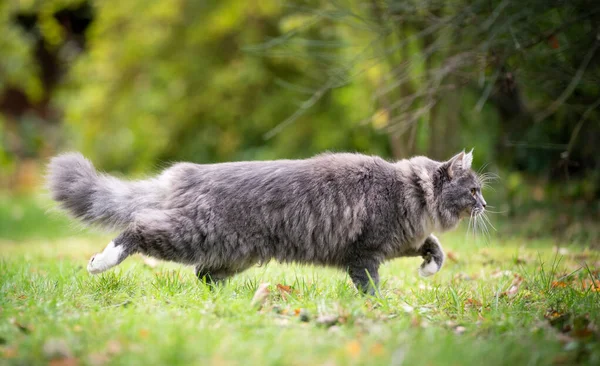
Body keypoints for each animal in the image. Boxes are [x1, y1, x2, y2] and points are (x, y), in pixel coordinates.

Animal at [47, 150, 488, 294]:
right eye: (472, 191)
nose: (485, 204)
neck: (411, 193)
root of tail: (188, 174)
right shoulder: (366, 253)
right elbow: (371, 286)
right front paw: (378, 307)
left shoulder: (401, 242)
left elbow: (435, 247)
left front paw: (428, 269)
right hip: (192, 233)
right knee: (138, 228)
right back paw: (100, 261)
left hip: (232, 254)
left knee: (203, 276)